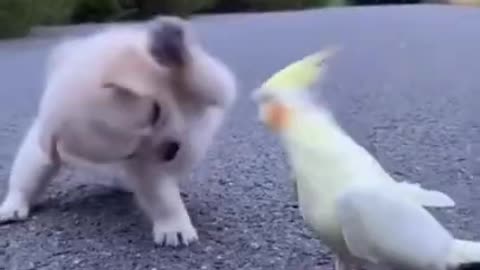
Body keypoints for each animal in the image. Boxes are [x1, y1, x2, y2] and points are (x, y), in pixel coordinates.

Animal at [0, 15, 238, 247]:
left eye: (155, 112)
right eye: (130, 153)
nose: (171, 151)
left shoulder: (210, 85)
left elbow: (206, 78)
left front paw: (171, 46)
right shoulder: (144, 164)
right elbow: (162, 195)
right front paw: (174, 227)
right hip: (37, 157)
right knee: (24, 181)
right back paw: (12, 207)